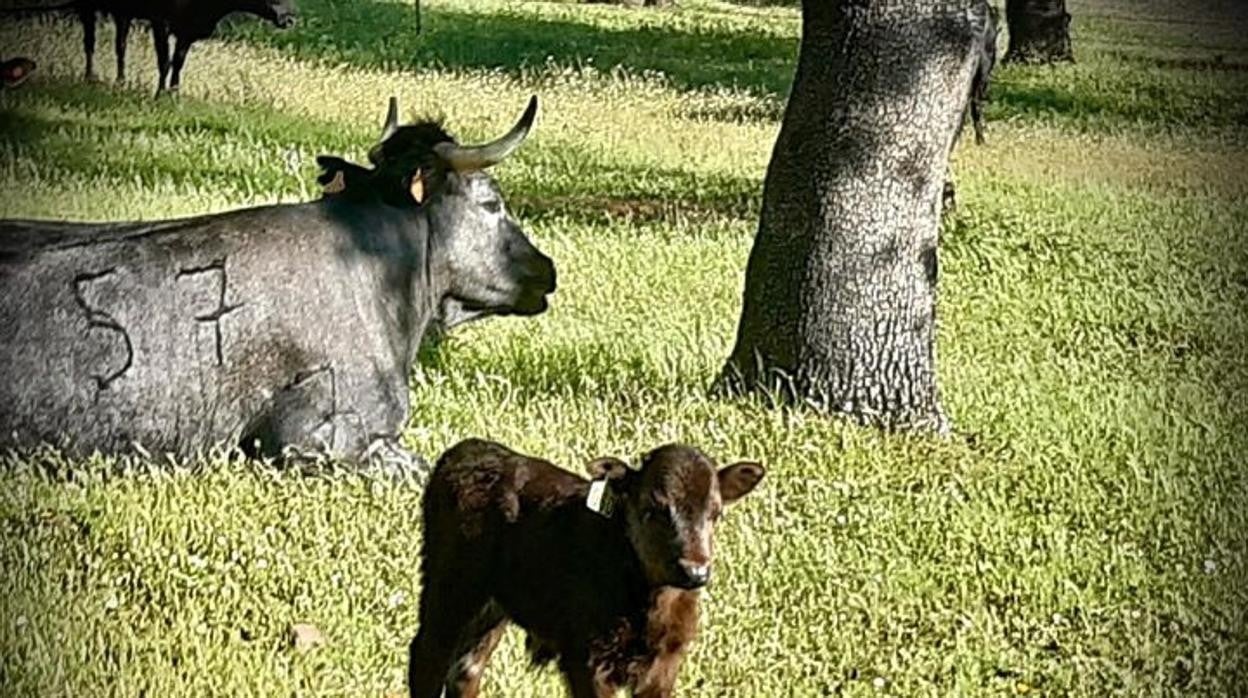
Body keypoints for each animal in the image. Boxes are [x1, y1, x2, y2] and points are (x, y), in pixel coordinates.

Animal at [411, 439, 758, 698]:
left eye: (715, 514)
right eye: (653, 508)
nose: (695, 572)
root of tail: (466, 450)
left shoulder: (667, 658)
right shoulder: (587, 656)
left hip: (492, 606)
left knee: (466, 668)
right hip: (450, 585)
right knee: (428, 655)